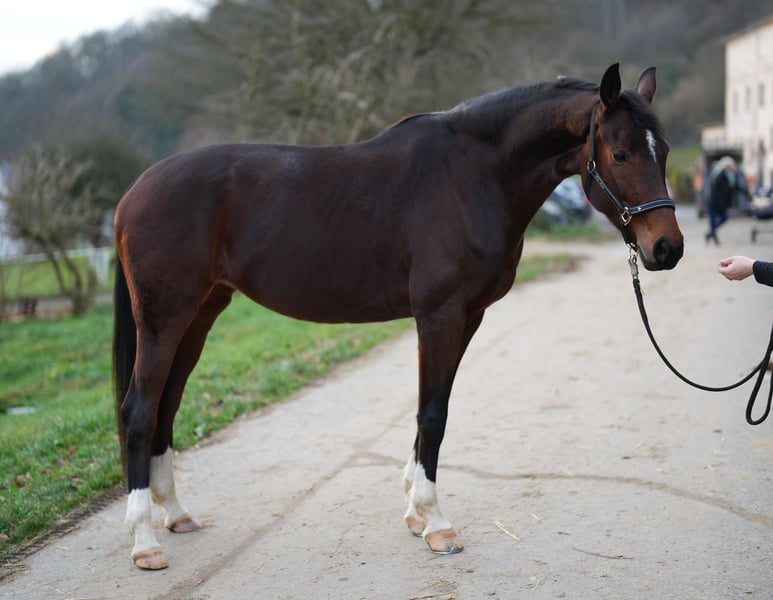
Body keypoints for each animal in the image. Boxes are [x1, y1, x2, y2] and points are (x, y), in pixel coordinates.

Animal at [113, 63, 684, 570]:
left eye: (665, 150)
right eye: (620, 153)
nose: (667, 249)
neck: (472, 175)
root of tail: (134, 191)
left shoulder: (468, 316)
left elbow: (435, 407)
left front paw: (414, 511)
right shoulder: (439, 314)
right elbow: (432, 414)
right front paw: (437, 524)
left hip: (200, 315)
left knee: (167, 405)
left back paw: (176, 514)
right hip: (164, 319)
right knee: (139, 410)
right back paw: (144, 543)